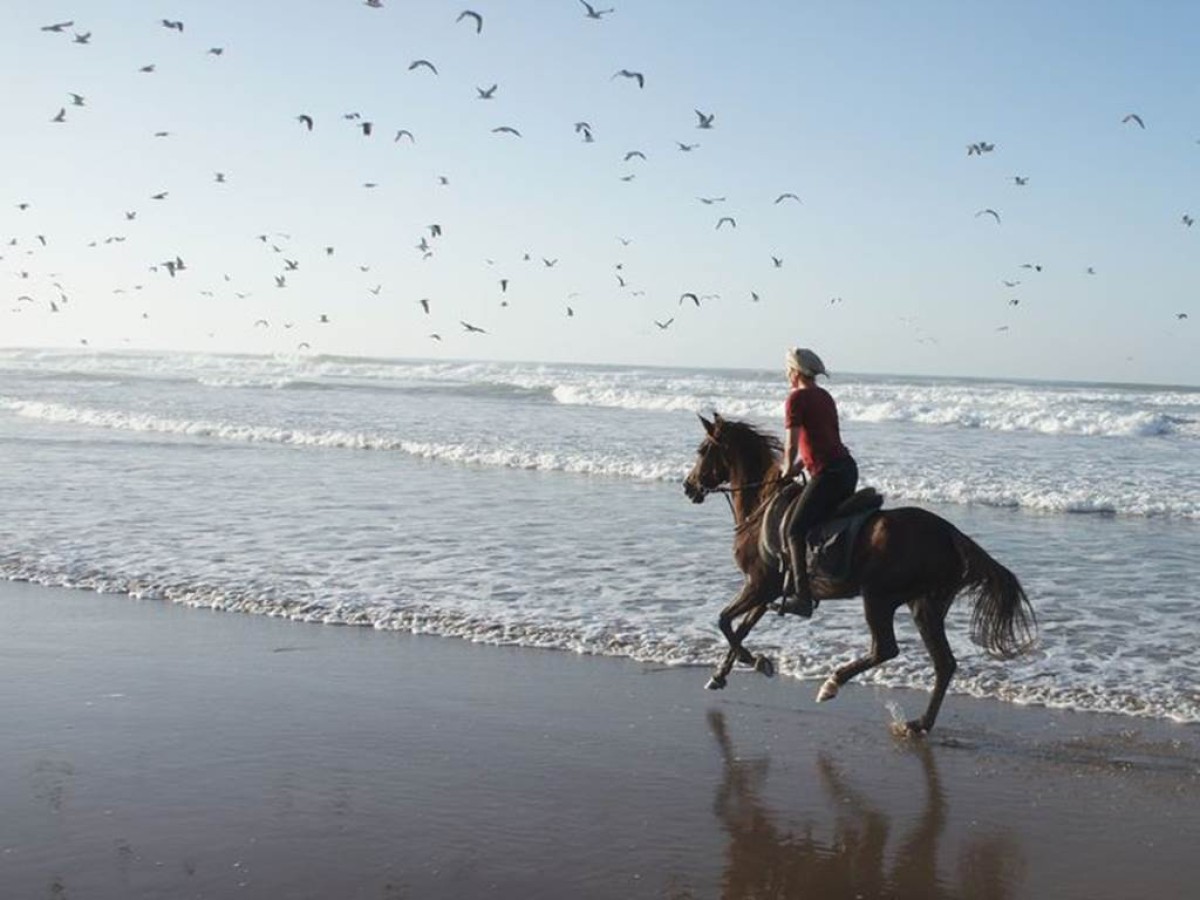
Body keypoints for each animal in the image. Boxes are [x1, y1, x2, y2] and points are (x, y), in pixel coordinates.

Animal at [682, 413, 1036, 734]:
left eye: (702, 450)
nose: (688, 487)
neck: (762, 504)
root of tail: (949, 533)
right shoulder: (767, 591)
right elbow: (740, 628)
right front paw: (722, 674)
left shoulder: (757, 585)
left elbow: (725, 622)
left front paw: (755, 661)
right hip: (926, 605)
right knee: (944, 663)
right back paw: (920, 723)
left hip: (878, 597)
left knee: (886, 649)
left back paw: (832, 684)